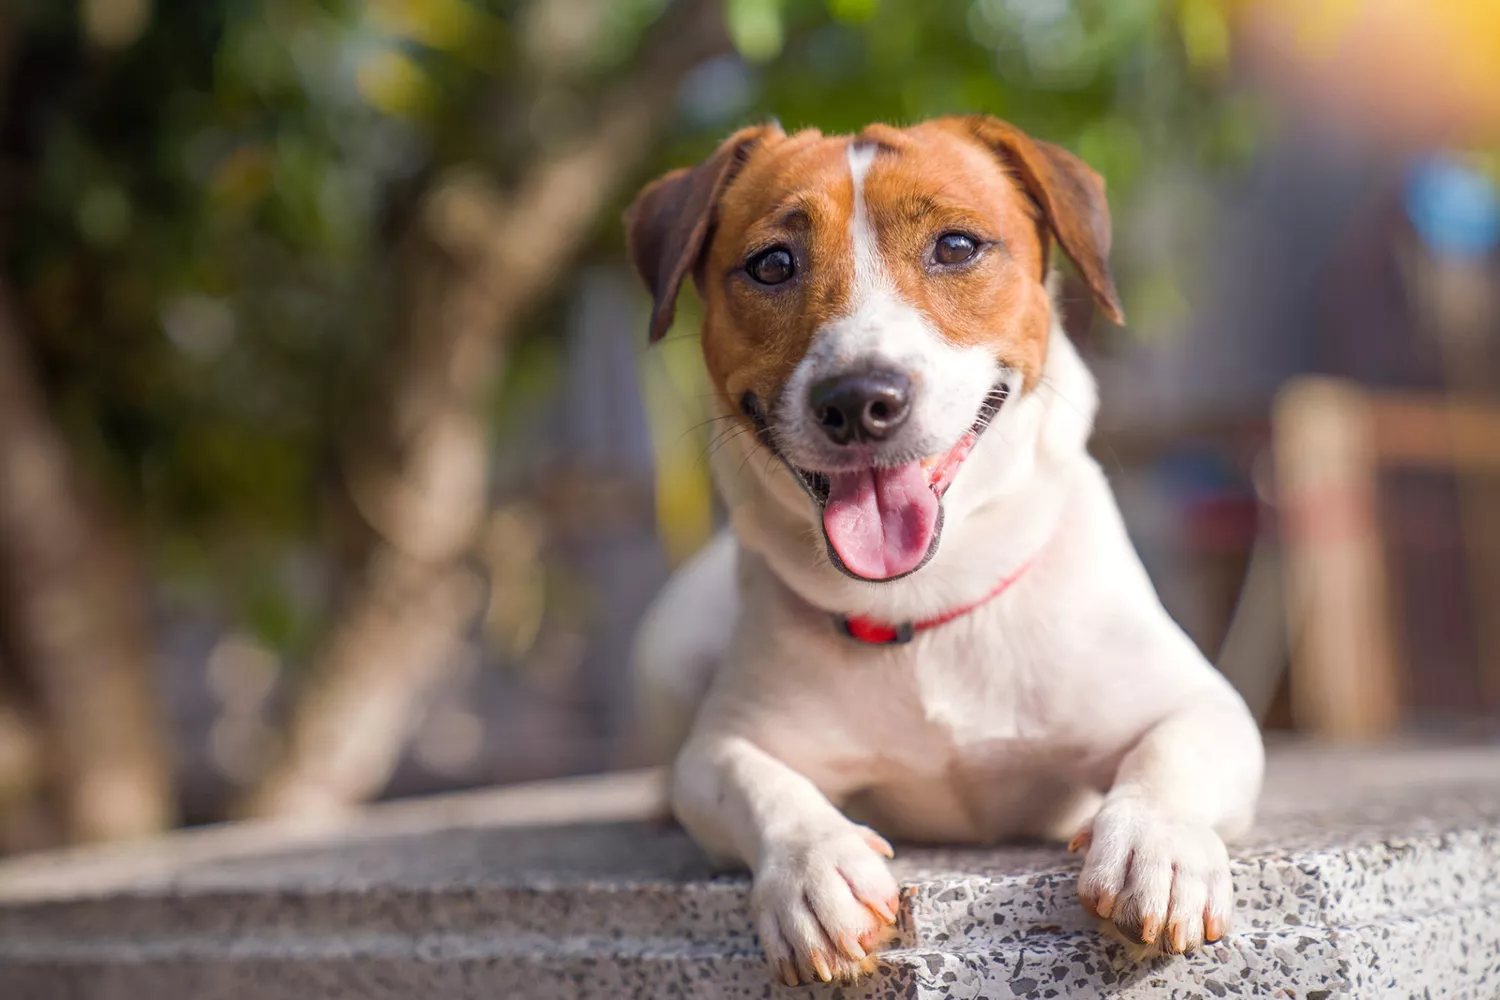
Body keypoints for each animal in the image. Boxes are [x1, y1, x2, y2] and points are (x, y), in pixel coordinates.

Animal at [621, 115, 1266, 983]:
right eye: (771, 264)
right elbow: (753, 781)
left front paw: (1152, 846)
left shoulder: (1202, 704)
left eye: (957, 247)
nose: (859, 399)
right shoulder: (724, 744)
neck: (920, 603)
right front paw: (813, 868)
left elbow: (1176, 750)